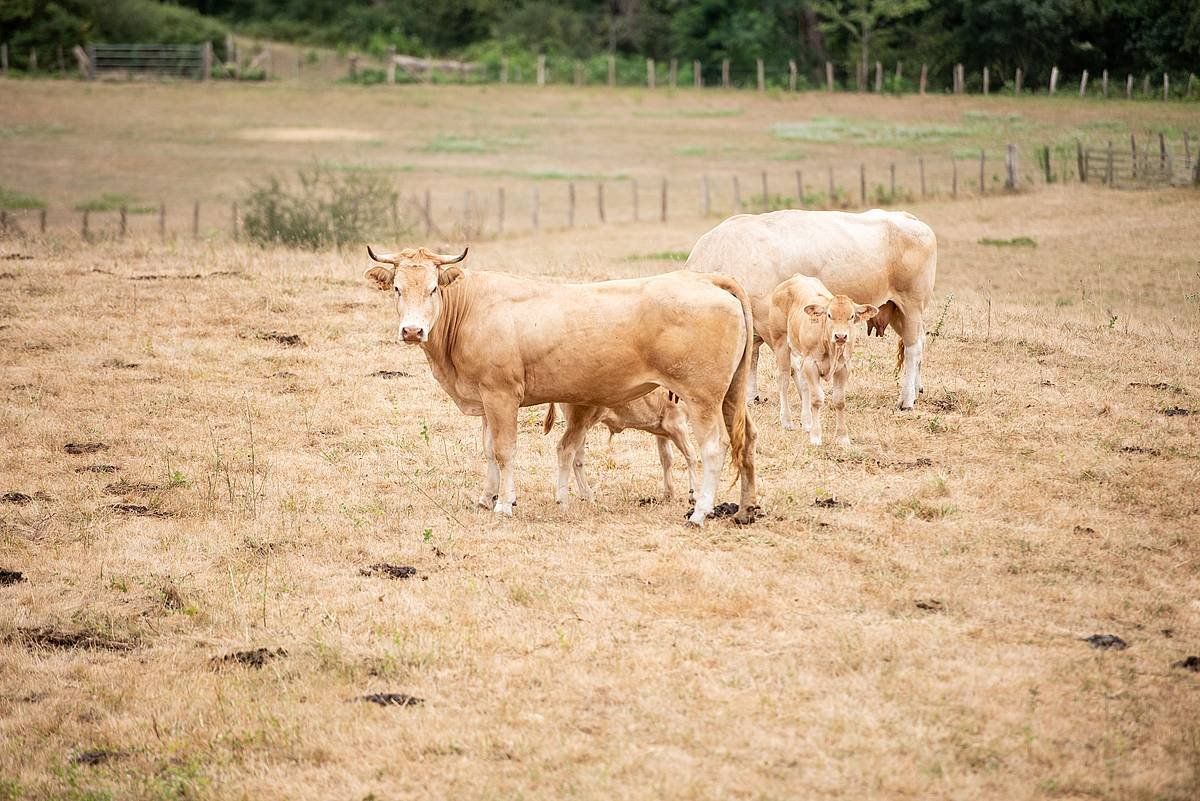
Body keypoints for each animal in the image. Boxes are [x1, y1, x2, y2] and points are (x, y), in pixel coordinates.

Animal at [542, 386, 700, 501]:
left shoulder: (661, 432)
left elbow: (666, 458)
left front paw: (669, 493)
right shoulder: (676, 424)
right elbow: (691, 455)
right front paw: (694, 495)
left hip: (580, 426)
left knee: (577, 457)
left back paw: (588, 495)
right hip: (580, 422)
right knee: (565, 450)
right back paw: (563, 500)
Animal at [686, 209, 936, 410]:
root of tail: (909, 218)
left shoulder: (770, 321)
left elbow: (787, 364)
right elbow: (751, 358)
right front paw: (750, 397)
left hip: (911, 305)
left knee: (913, 349)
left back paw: (906, 400)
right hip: (896, 309)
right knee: (920, 342)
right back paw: (917, 390)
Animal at [768, 273, 883, 450]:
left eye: (851, 316)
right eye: (829, 315)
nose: (841, 336)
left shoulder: (844, 367)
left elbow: (839, 401)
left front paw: (842, 437)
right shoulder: (811, 364)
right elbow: (817, 399)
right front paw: (816, 437)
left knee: (803, 385)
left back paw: (807, 422)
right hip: (781, 343)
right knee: (784, 379)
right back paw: (787, 420)